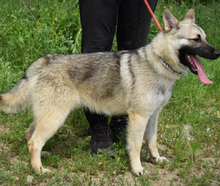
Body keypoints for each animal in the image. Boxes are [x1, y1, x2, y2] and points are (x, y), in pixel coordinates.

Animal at [0, 7, 220, 176]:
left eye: (205, 38)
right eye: (196, 39)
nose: (217, 52)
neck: (157, 62)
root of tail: (43, 60)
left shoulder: (153, 116)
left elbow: (152, 141)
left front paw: (156, 159)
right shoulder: (139, 117)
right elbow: (136, 146)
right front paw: (137, 169)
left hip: (47, 116)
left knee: (29, 134)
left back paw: (40, 159)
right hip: (55, 118)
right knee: (34, 142)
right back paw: (40, 171)